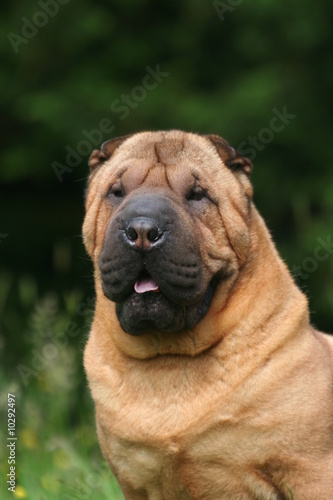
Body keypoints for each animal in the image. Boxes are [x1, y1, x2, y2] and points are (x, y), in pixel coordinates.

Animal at [82, 131, 332, 498]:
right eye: (117, 192)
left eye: (197, 195)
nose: (141, 230)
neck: (171, 358)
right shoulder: (136, 483)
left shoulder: (311, 470)